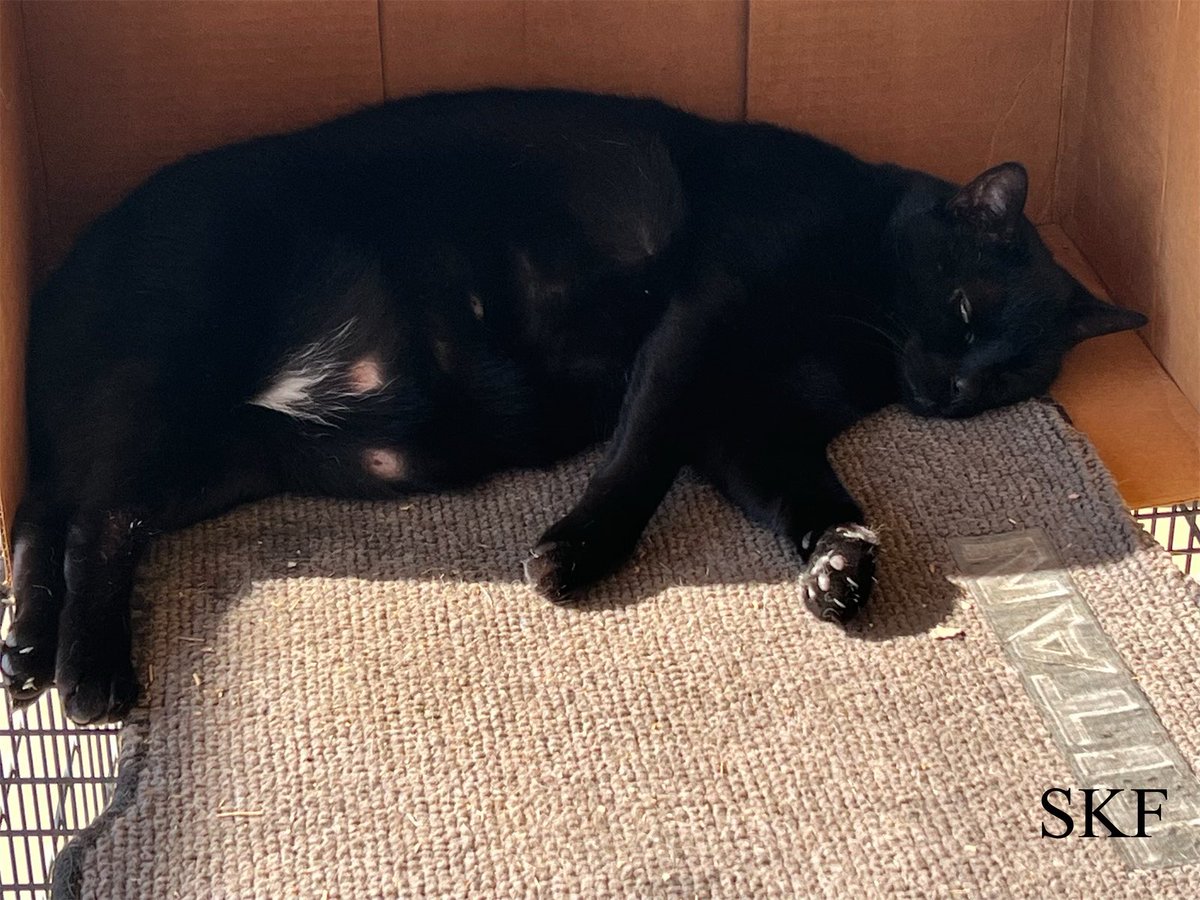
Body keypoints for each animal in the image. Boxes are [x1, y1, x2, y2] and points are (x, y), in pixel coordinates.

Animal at [0, 90, 1142, 724]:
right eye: (964, 308)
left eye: (1011, 376)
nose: (950, 392)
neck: (861, 321)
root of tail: (54, 277)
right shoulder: (701, 325)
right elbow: (641, 454)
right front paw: (578, 556)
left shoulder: (753, 418)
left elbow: (802, 489)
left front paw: (842, 564)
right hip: (161, 385)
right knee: (99, 518)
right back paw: (90, 675)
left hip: (214, 455)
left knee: (51, 512)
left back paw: (25, 649)